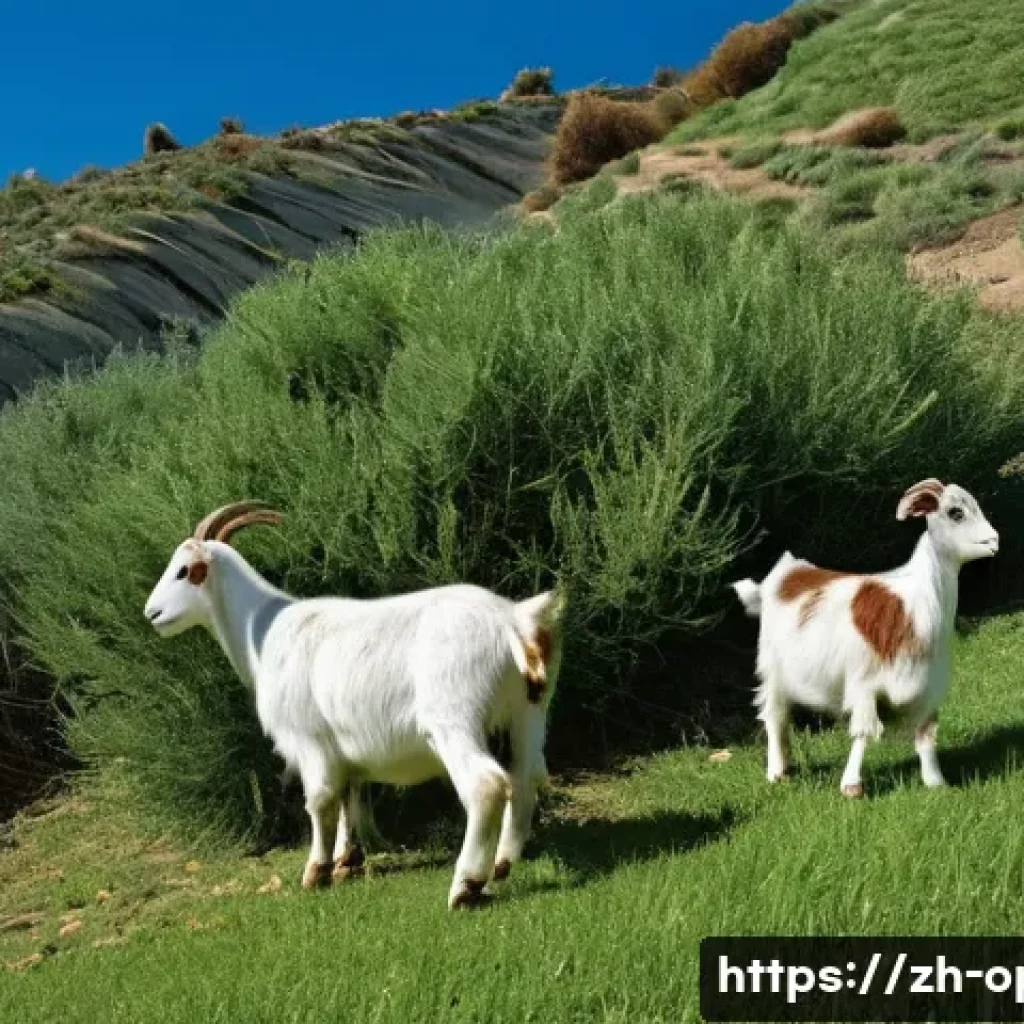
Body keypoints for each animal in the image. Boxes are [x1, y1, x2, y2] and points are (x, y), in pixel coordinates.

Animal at [143, 501, 565, 909]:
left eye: (186, 571)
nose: (152, 613)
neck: (266, 630)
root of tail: (514, 621)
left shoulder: (309, 739)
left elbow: (320, 800)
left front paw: (316, 872)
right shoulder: (344, 747)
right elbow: (351, 794)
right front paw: (347, 860)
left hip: (454, 722)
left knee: (486, 785)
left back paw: (466, 887)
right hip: (527, 717)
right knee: (526, 779)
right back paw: (501, 867)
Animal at [730, 479, 999, 797]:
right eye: (955, 512)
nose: (994, 540)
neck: (913, 606)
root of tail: (789, 571)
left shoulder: (926, 686)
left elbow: (925, 734)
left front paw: (936, 782)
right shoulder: (864, 684)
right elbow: (862, 734)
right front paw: (851, 786)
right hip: (771, 668)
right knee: (775, 716)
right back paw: (775, 772)